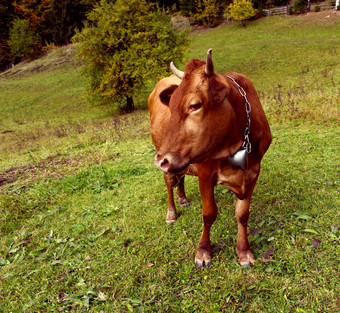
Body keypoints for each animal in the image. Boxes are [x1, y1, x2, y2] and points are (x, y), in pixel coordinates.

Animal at [148, 48, 270, 266]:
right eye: (171, 105)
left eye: (194, 105)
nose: (161, 160)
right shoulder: (205, 172)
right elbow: (209, 213)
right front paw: (203, 251)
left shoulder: (254, 171)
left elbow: (242, 214)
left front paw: (244, 251)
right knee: (170, 181)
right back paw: (171, 212)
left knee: (180, 176)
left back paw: (183, 198)